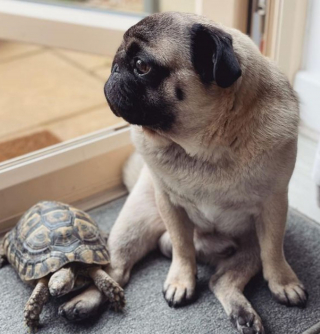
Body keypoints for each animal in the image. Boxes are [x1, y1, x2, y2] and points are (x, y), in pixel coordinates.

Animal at [58, 12, 306, 334]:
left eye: (142, 66)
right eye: (119, 59)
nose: (114, 69)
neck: (206, 148)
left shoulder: (274, 207)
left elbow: (274, 252)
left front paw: (284, 282)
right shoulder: (169, 204)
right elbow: (182, 247)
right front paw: (181, 281)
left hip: (250, 245)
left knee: (222, 280)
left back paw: (244, 315)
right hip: (133, 225)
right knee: (117, 270)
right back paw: (83, 302)